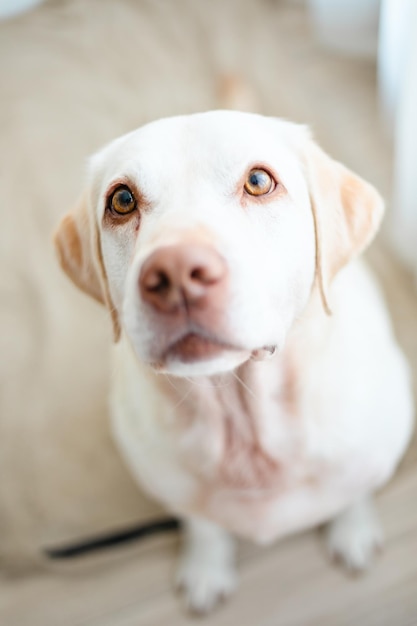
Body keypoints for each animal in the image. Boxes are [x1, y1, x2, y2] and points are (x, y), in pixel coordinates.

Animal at [53, 111, 412, 608]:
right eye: (122, 200)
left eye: (258, 181)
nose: (177, 274)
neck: (243, 424)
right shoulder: (177, 492)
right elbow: (204, 526)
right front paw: (207, 566)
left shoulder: (369, 458)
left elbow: (354, 494)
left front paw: (352, 530)